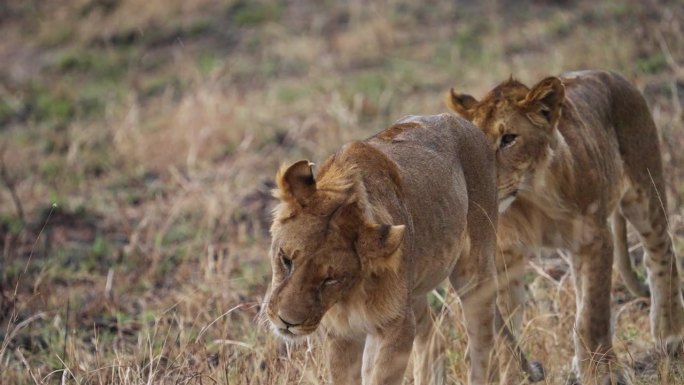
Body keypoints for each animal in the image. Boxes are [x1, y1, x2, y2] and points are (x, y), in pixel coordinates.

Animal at [266, 113, 540, 384]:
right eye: (286, 260)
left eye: (330, 279)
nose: (287, 322)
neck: (349, 295)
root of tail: (463, 122)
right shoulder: (341, 335)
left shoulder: (397, 327)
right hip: (414, 291)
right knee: (434, 339)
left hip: (475, 277)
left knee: (483, 353)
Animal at [448, 70, 684, 384]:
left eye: (508, 138)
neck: (531, 198)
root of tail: (612, 74)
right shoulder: (501, 255)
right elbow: (503, 327)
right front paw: (513, 375)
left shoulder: (595, 238)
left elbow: (591, 314)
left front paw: (603, 372)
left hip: (644, 189)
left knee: (660, 252)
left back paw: (670, 335)